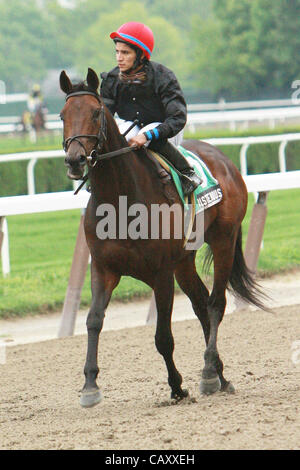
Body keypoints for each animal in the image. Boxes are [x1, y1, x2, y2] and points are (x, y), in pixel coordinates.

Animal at [59, 67, 266, 408]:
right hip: (184, 261)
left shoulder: (161, 273)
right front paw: (89, 385)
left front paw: (177, 387)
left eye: (95, 112)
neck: (121, 200)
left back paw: (208, 371)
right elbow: (94, 320)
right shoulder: (103, 268)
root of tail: (223, 158)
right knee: (201, 304)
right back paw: (220, 375)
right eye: (62, 115)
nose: (75, 160)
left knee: (215, 303)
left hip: (223, 239)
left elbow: (163, 337)